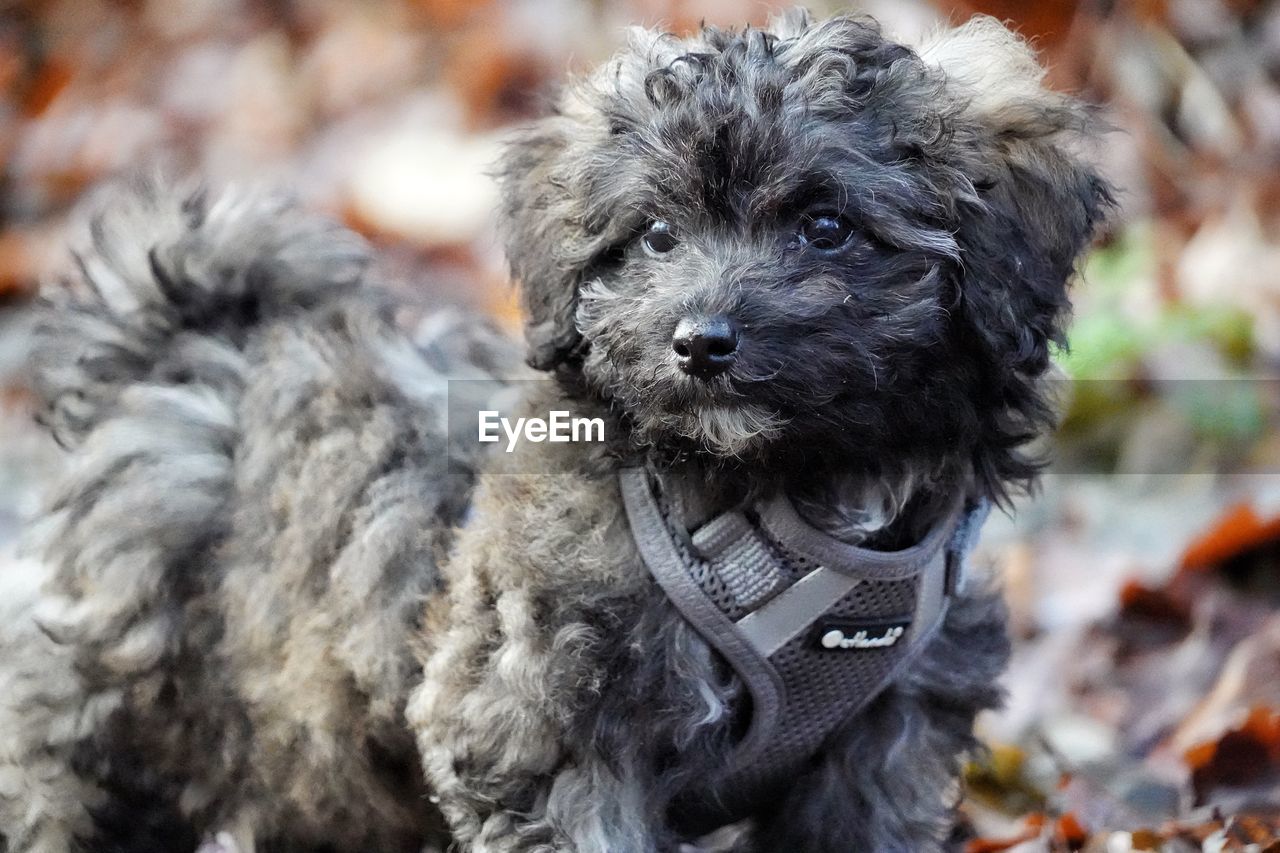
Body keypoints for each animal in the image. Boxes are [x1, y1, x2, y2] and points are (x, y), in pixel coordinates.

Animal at [0, 8, 1111, 850]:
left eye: (827, 226)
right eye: (655, 235)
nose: (700, 341)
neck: (780, 491)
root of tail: (184, 345)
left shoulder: (885, 737)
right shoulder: (537, 719)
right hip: (121, 702)